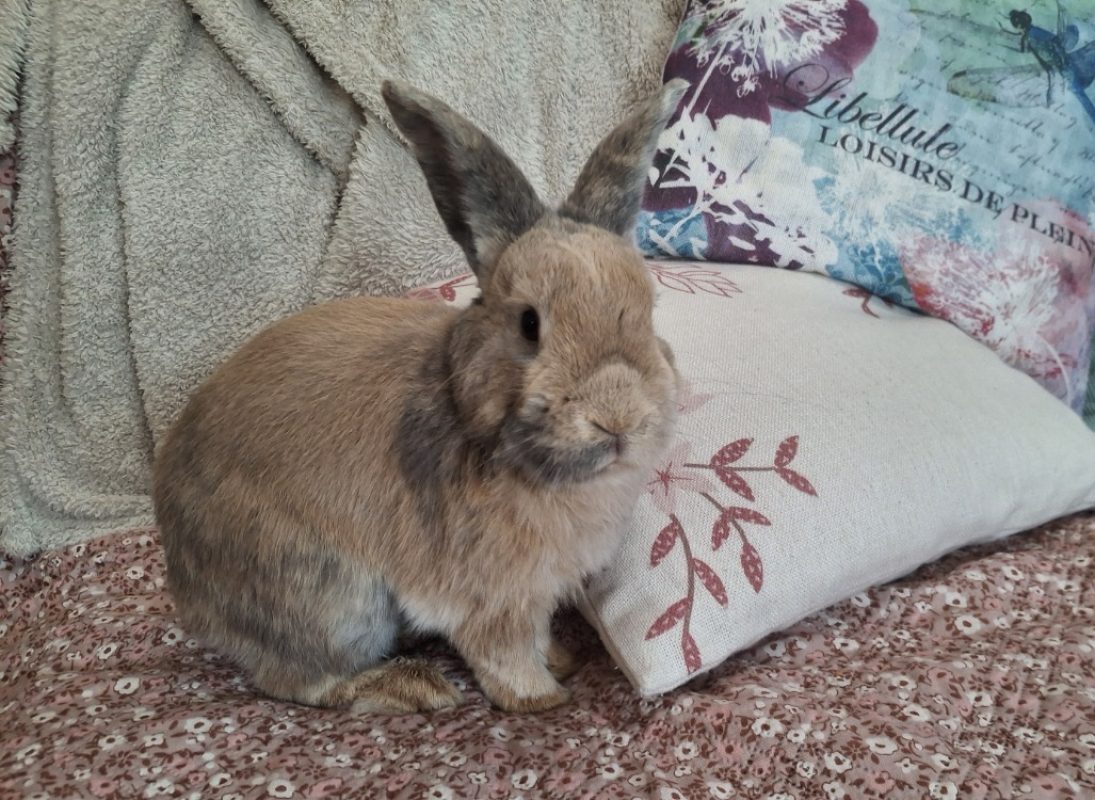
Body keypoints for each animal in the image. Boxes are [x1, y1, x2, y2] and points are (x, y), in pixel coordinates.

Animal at [153, 78, 685, 714]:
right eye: (529, 323)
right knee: (298, 681)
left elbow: (537, 636)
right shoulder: (494, 599)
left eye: (650, 310)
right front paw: (543, 698)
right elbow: (506, 656)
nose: (618, 419)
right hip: (332, 600)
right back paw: (411, 685)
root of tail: (191, 596)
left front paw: (562, 659)